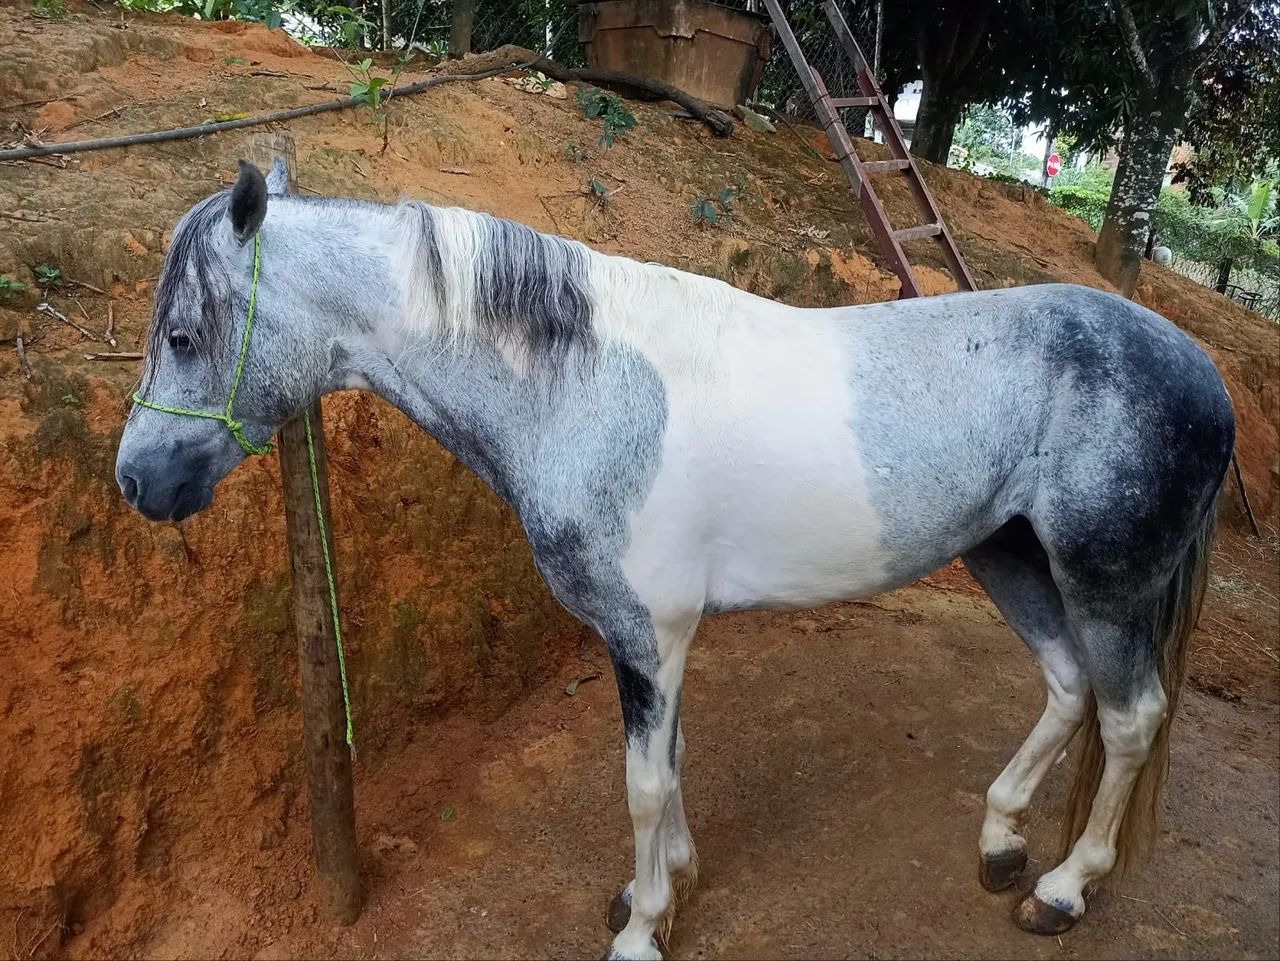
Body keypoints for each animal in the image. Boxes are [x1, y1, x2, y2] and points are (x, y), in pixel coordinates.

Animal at [116, 160, 1235, 960]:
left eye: (184, 334)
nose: (135, 481)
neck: (584, 388)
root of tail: (1202, 370)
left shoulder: (645, 635)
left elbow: (643, 783)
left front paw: (642, 927)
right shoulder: (660, 642)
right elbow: (677, 759)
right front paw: (671, 885)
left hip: (1105, 582)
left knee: (1129, 713)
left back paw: (1062, 888)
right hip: (1010, 558)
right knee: (1067, 686)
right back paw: (1001, 844)